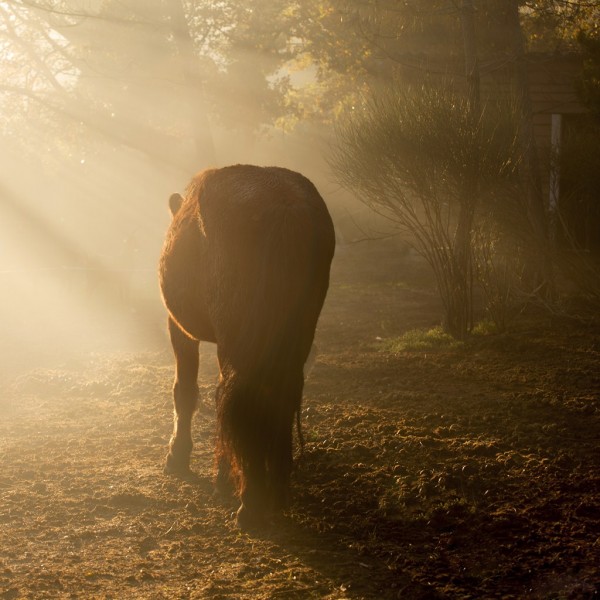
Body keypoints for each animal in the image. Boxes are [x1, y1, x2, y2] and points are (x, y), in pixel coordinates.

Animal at [159, 165, 336, 528]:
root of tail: (284, 205)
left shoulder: (180, 329)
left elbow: (185, 391)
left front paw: (178, 455)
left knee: (237, 400)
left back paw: (248, 499)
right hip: (290, 342)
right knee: (273, 400)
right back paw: (272, 491)